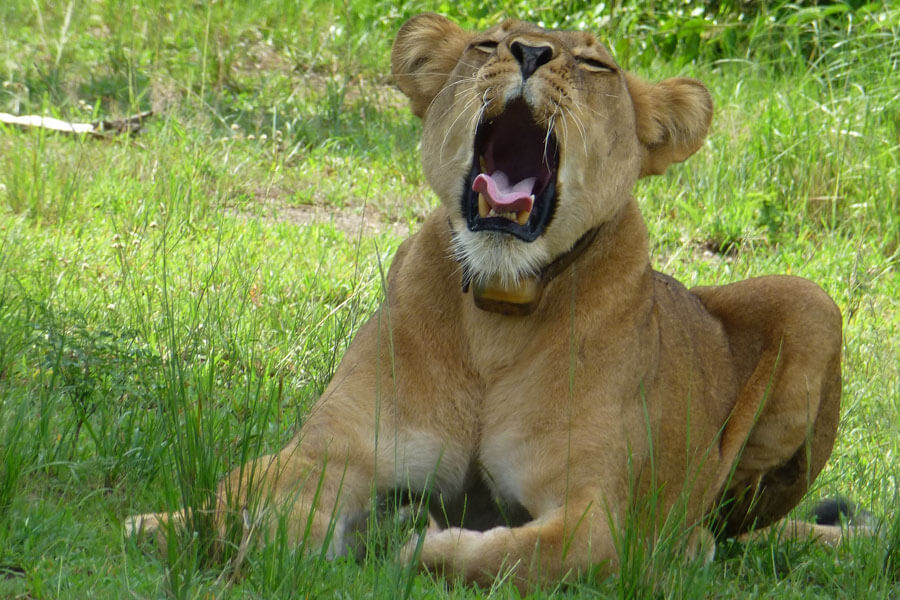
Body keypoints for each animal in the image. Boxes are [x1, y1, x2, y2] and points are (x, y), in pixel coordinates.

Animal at [128, 14, 852, 592]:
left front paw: (415, 541)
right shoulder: (339, 447)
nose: (530, 53)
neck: (498, 316)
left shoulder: (596, 512)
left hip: (811, 301)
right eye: (489, 43)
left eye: (595, 65)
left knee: (723, 528)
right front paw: (270, 528)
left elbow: (528, 556)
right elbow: (246, 487)